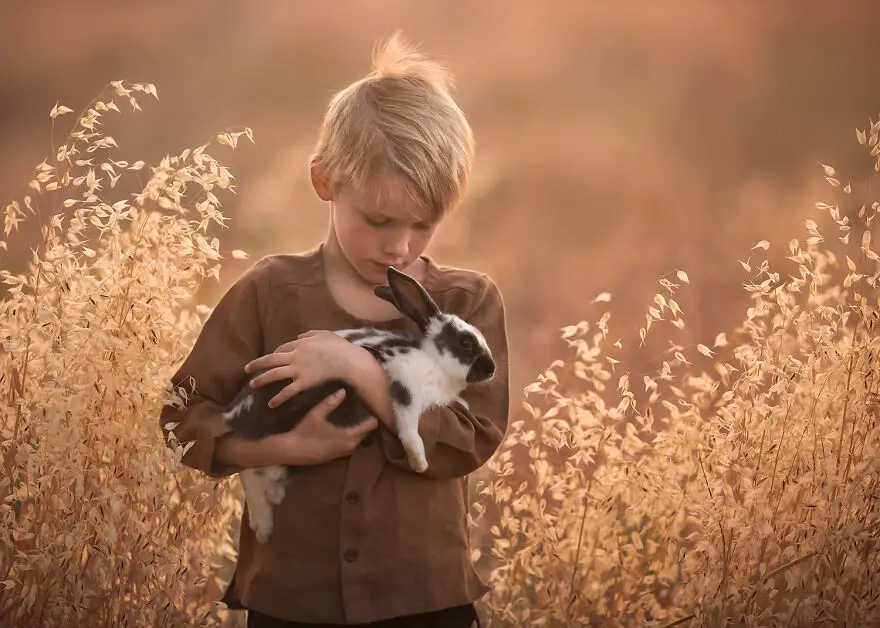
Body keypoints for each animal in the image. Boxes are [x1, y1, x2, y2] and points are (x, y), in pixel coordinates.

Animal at [220, 268, 496, 544]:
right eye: (465, 342)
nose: (491, 369)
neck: (434, 360)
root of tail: (234, 417)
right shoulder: (404, 381)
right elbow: (408, 424)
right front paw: (419, 461)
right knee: (252, 469)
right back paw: (263, 526)